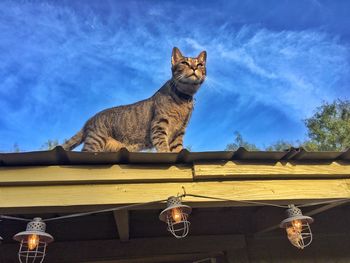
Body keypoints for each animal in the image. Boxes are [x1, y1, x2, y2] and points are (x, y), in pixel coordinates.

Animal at [61, 47, 206, 153]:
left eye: (200, 65)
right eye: (184, 62)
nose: (194, 68)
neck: (183, 99)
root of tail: (89, 120)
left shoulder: (179, 132)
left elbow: (178, 149)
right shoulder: (159, 124)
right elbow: (163, 146)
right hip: (95, 142)